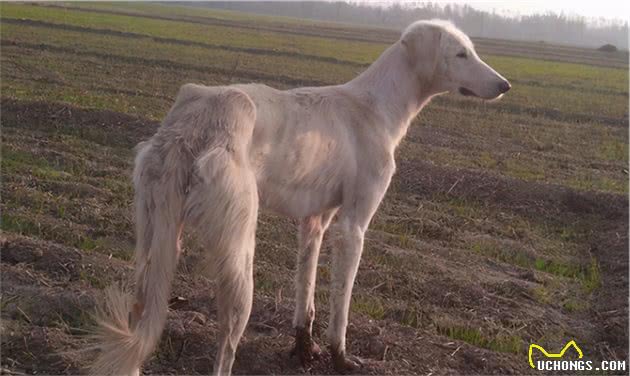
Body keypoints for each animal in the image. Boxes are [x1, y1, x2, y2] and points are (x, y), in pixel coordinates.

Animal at [92, 19, 508, 374]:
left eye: (471, 50)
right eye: (461, 54)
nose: (505, 85)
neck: (375, 104)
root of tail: (196, 119)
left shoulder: (315, 222)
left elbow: (305, 292)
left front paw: (304, 349)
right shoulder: (352, 227)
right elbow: (341, 304)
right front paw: (340, 357)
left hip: (154, 240)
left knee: (139, 319)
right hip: (239, 257)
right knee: (225, 347)